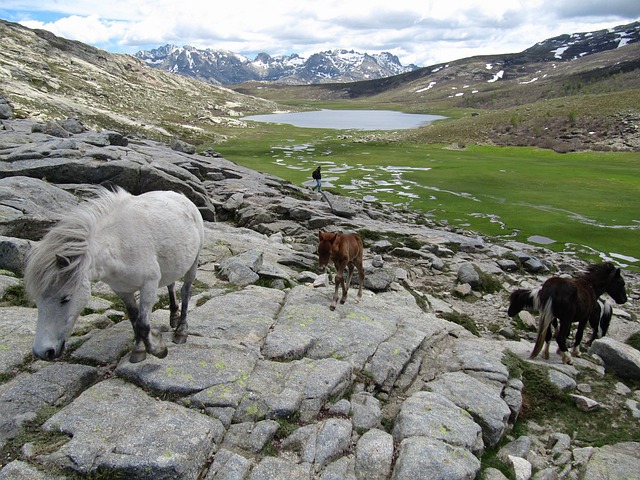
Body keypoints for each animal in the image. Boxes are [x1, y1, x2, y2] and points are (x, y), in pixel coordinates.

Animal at [25, 189, 204, 362]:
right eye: (37, 301)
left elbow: (142, 325)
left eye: (65, 298)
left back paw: (181, 330)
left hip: (193, 263)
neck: (118, 245)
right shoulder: (122, 291)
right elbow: (134, 319)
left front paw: (159, 349)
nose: (43, 352)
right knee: (171, 284)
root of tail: (181, 197)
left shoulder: (149, 285)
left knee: (185, 292)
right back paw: (173, 317)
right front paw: (139, 350)